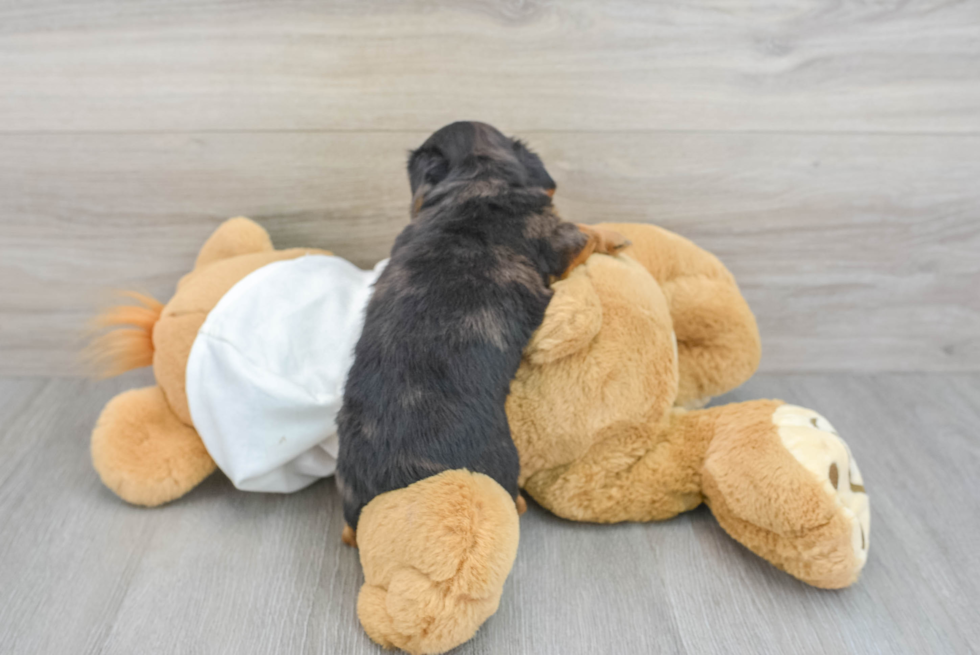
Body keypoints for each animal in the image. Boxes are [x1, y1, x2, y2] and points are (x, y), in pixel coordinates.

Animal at [336, 120, 628, 544]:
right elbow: (587, 233)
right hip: (501, 461)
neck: (476, 174)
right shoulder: (562, 240)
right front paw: (615, 236)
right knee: (512, 501)